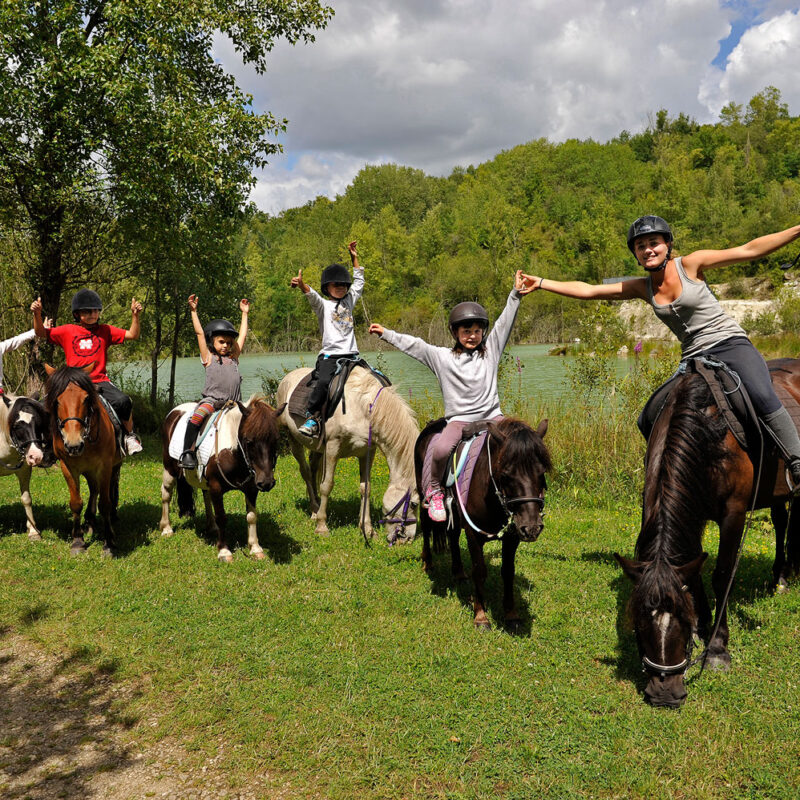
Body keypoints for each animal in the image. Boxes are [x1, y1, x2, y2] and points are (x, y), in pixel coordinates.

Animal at [44, 364, 122, 556]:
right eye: (57, 401)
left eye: (86, 399)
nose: (73, 444)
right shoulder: (68, 467)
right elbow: (76, 503)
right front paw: (78, 541)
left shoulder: (105, 466)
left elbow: (105, 503)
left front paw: (109, 542)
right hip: (89, 470)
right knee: (94, 489)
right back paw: (90, 521)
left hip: (114, 466)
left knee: (111, 488)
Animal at [159, 398, 284, 564]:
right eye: (249, 441)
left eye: (276, 441)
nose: (266, 482)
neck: (234, 454)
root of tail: (175, 411)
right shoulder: (217, 487)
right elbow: (222, 517)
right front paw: (224, 551)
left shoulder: (251, 489)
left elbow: (251, 516)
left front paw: (255, 548)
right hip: (169, 470)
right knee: (166, 494)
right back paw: (166, 528)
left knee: (206, 496)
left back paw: (211, 526)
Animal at [276, 366, 418, 540]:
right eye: (414, 504)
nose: (407, 538)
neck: (362, 406)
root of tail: (287, 377)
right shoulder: (332, 447)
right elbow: (327, 485)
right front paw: (322, 527)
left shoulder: (367, 451)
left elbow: (366, 488)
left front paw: (367, 529)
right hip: (293, 439)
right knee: (306, 472)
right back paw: (315, 511)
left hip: (317, 448)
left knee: (313, 468)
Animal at [416, 418, 552, 632]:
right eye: (506, 474)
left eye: (542, 472)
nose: (531, 528)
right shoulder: (474, 535)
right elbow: (479, 572)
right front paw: (480, 616)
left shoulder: (512, 537)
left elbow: (508, 572)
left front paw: (511, 615)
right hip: (422, 496)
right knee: (427, 527)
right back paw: (428, 563)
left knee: (453, 536)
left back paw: (458, 573)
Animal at [616, 360, 800, 708]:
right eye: (640, 624)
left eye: (680, 621)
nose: (664, 694)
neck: (706, 433)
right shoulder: (695, 512)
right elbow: (694, 572)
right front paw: (704, 627)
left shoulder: (733, 513)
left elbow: (722, 575)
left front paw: (717, 647)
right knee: (782, 521)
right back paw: (781, 575)